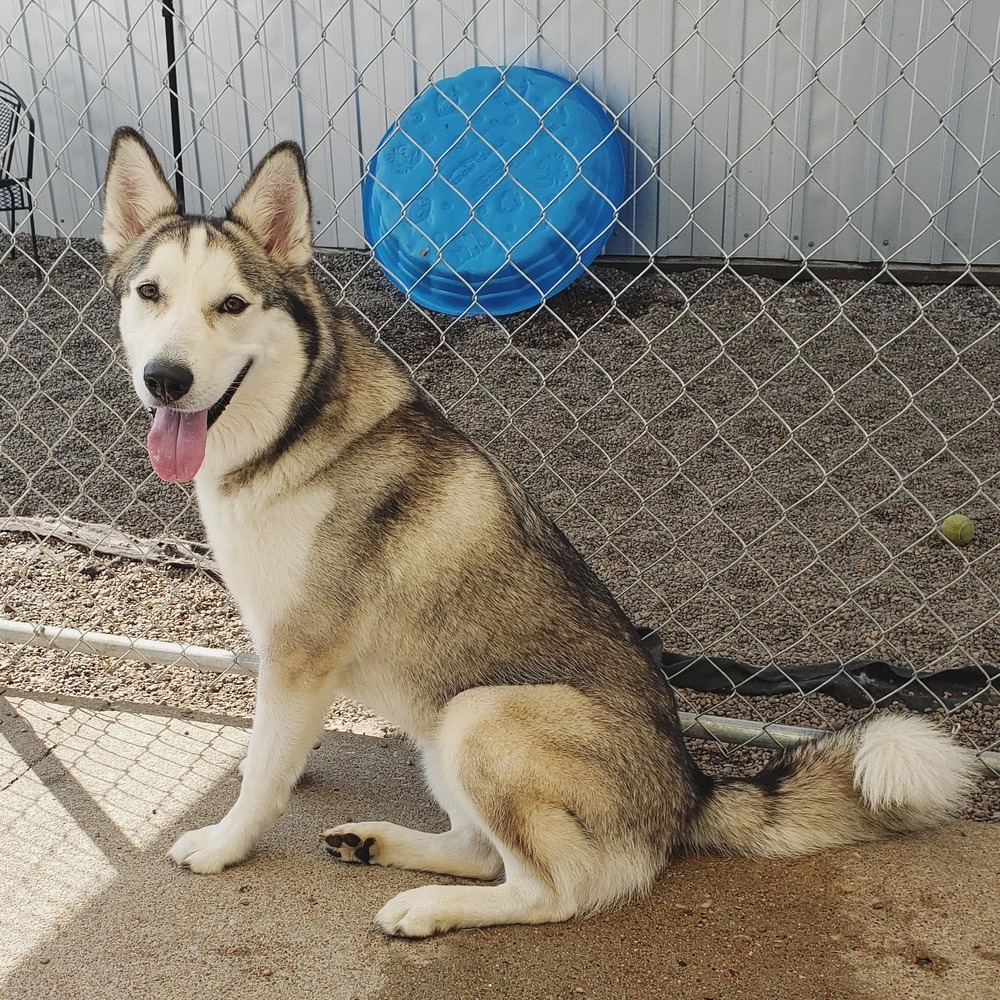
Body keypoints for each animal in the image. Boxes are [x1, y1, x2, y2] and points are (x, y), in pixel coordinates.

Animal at [101, 131, 976, 936]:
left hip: (480, 714)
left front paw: (225, 843)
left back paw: (428, 907)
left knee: (553, 892)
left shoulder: (299, 651)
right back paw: (379, 845)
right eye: (150, 292)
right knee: (482, 849)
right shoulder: (284, 654)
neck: (288, 431)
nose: (166, 379)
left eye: (231, 305)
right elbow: (272, 754)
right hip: (444, 726)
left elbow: (258, 772)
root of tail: (689, 790)